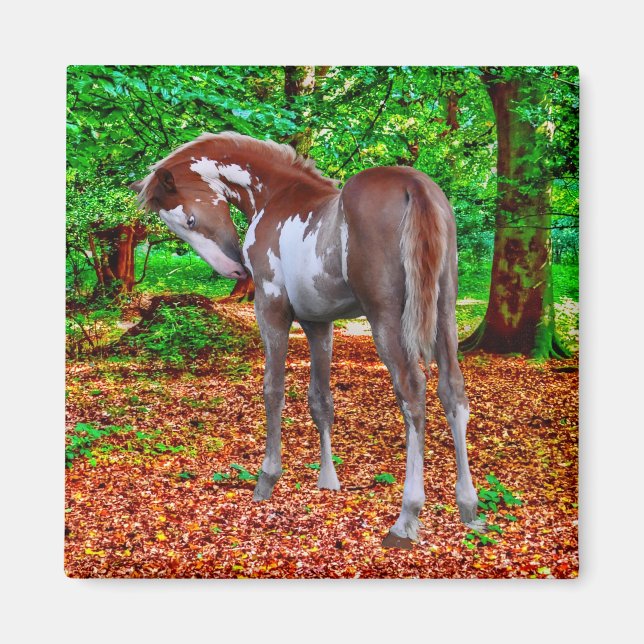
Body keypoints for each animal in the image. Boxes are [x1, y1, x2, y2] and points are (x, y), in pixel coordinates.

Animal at [131, 132, 486, 549]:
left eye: (189, 218)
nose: (234, 269)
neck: (276, 195)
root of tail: (413, 184)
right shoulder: (319, 323)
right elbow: (321, 400)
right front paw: (328, 481)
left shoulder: (271, 310)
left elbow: (273, 390)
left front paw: (267, 478)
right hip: (444, 314)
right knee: (453, 393)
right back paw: (468, 506)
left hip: (386, 319)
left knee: (412, 392)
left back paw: (406, 518)